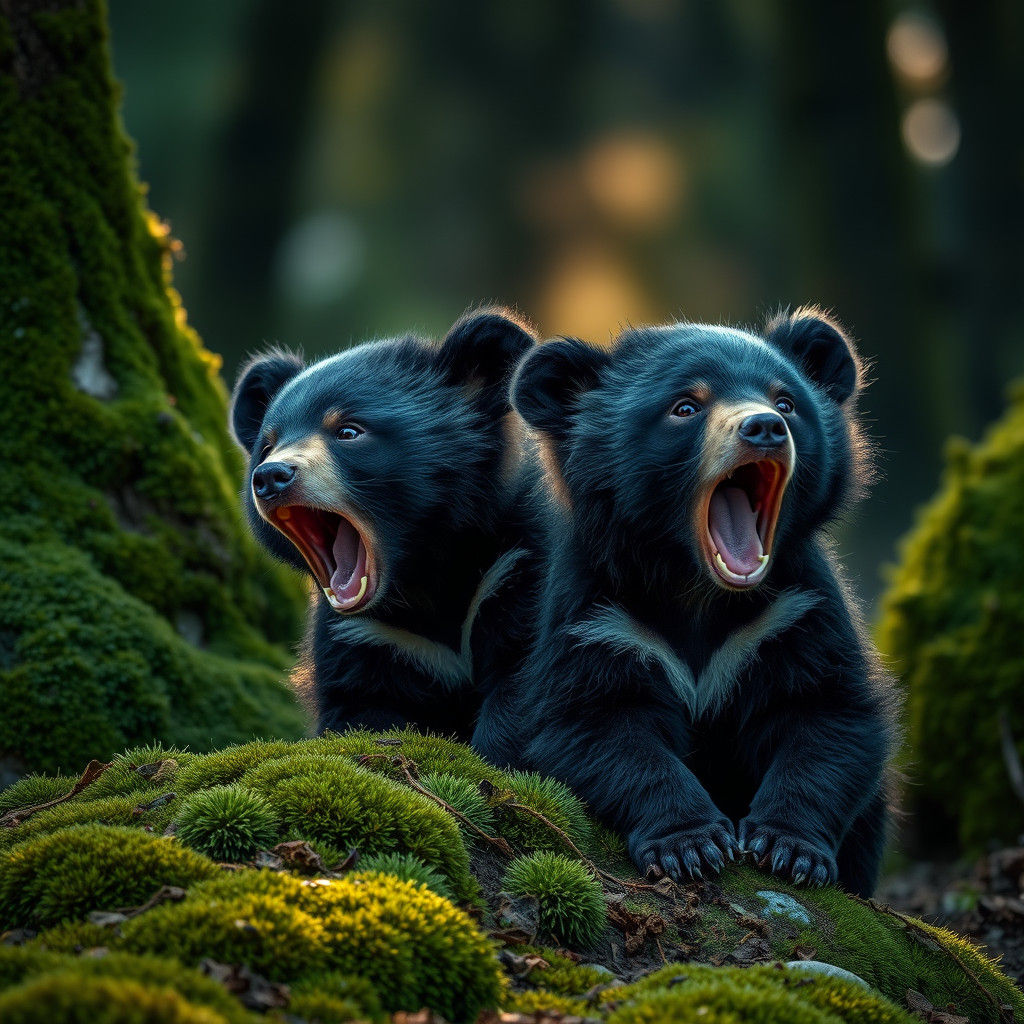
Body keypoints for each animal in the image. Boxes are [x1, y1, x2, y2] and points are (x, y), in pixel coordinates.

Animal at [230, 308, 537, 740]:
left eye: (348, 431)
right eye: (268, 445)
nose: (271, 476)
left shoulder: (514, 569)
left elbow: (526, 682)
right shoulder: (371, 637)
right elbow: (362, 705)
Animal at [474, 308, 898, 897]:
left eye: (787, 400)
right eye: (686, 407)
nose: (765, 428)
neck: (699, 587)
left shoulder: (794, 609)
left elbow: (826, 712)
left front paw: (788, 849)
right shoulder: (599, 621)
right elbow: (596, 725)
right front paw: (692, 846)